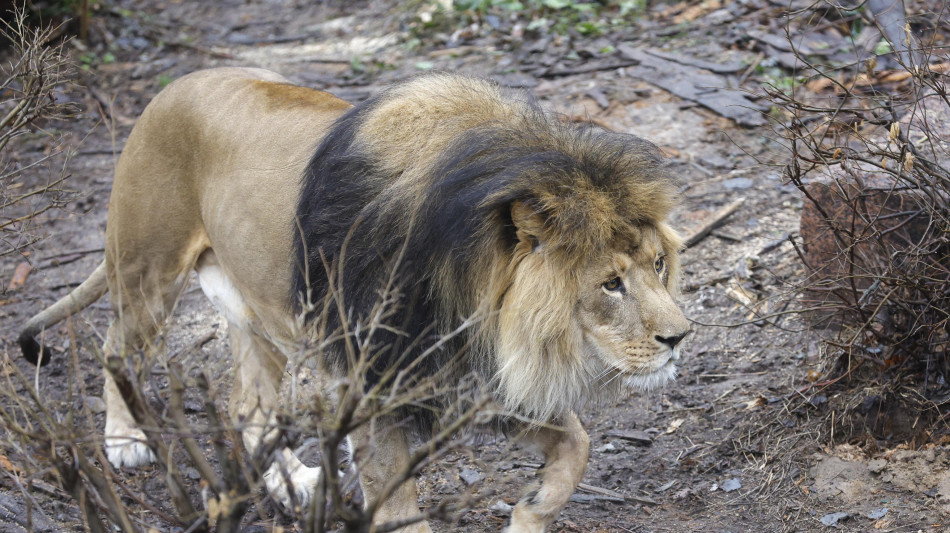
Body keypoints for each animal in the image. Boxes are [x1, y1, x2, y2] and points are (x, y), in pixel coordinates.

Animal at [19, 67, 690, 533]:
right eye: (610, 283)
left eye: (658, 266)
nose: (680, 338)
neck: (471, 298)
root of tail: (173, 85)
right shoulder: (375, 394)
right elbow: (398, 514)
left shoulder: (472, 380)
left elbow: (577, 446)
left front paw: (528, 512)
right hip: (148, 271)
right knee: (115, 346)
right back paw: (124, 438)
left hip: (255, 313)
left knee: (248, 408)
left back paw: (293, 484)